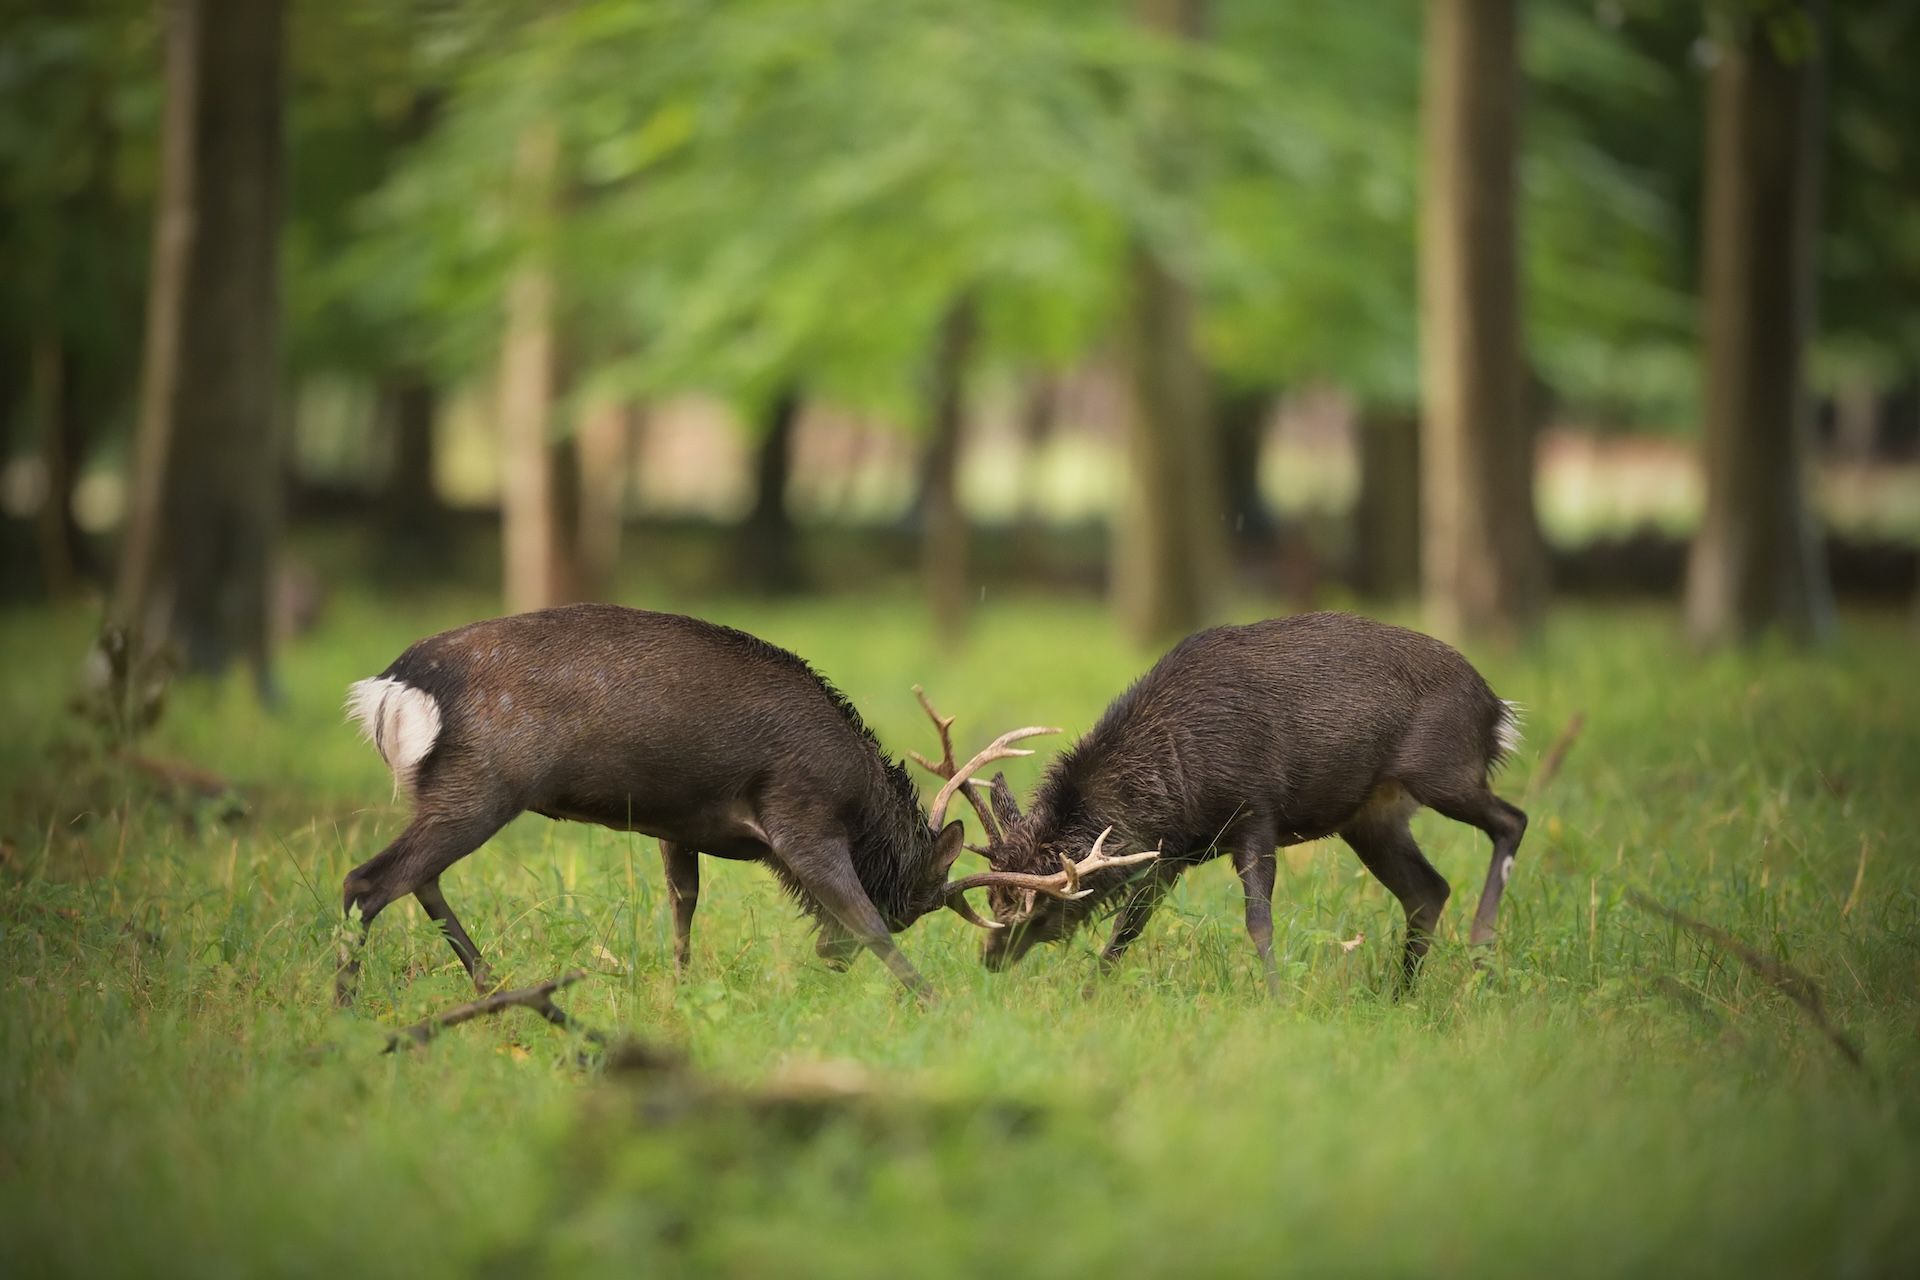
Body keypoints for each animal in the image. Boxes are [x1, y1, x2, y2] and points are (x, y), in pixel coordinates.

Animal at [337, 606, 1144, 1005]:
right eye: (913, 905)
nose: (828, 960)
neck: (858, 798)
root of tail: (387, 689)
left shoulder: (675, 820)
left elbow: (683, 904)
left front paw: (678, 989)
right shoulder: (800, 813)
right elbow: (860, 914)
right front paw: (936, 1002)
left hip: (451, 790)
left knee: (418, 878)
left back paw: (492, 982)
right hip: (485, 784)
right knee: (368, 881)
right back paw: (350, 1010)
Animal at [929, 614, 1528, 997]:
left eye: (1041, 907)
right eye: (995, 901)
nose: (990, 958)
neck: (1177, 780)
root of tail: (1496, 707)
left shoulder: (1255, 814)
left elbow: (1258, 922)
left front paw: (1278, 1001)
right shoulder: (1170, 853)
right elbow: (1127, 928)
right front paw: (1088, 998)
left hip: (1443, 770)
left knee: (1512, 820)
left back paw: (1481, 948)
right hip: (1371, 816)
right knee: (1428, 890)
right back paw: (1400, 995)